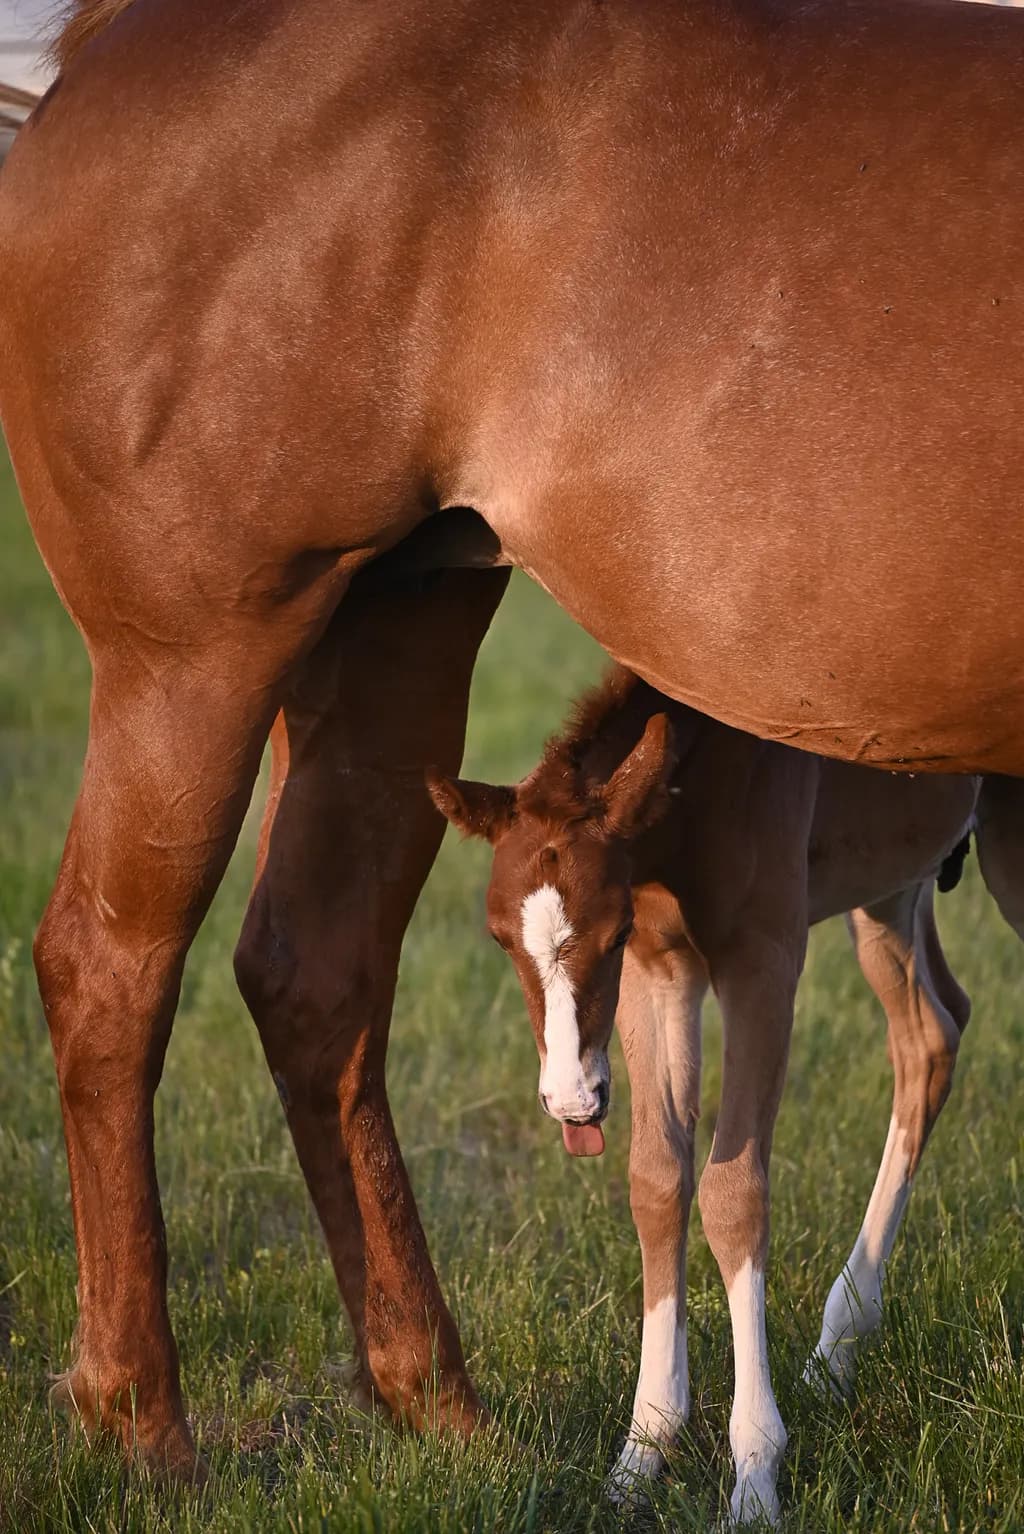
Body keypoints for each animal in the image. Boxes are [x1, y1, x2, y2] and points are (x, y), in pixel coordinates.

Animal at [428, 666, 1024, 1522]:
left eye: (608, 934)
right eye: (501, 938)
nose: (572, 1101)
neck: (702, 789)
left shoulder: (761, 961)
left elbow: (733, 1193)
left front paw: (755, 1477)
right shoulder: (661, 968)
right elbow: (657, 1179)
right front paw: (642, 1451)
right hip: (892, 880)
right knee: (931, 1035)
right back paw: (839, 1349)